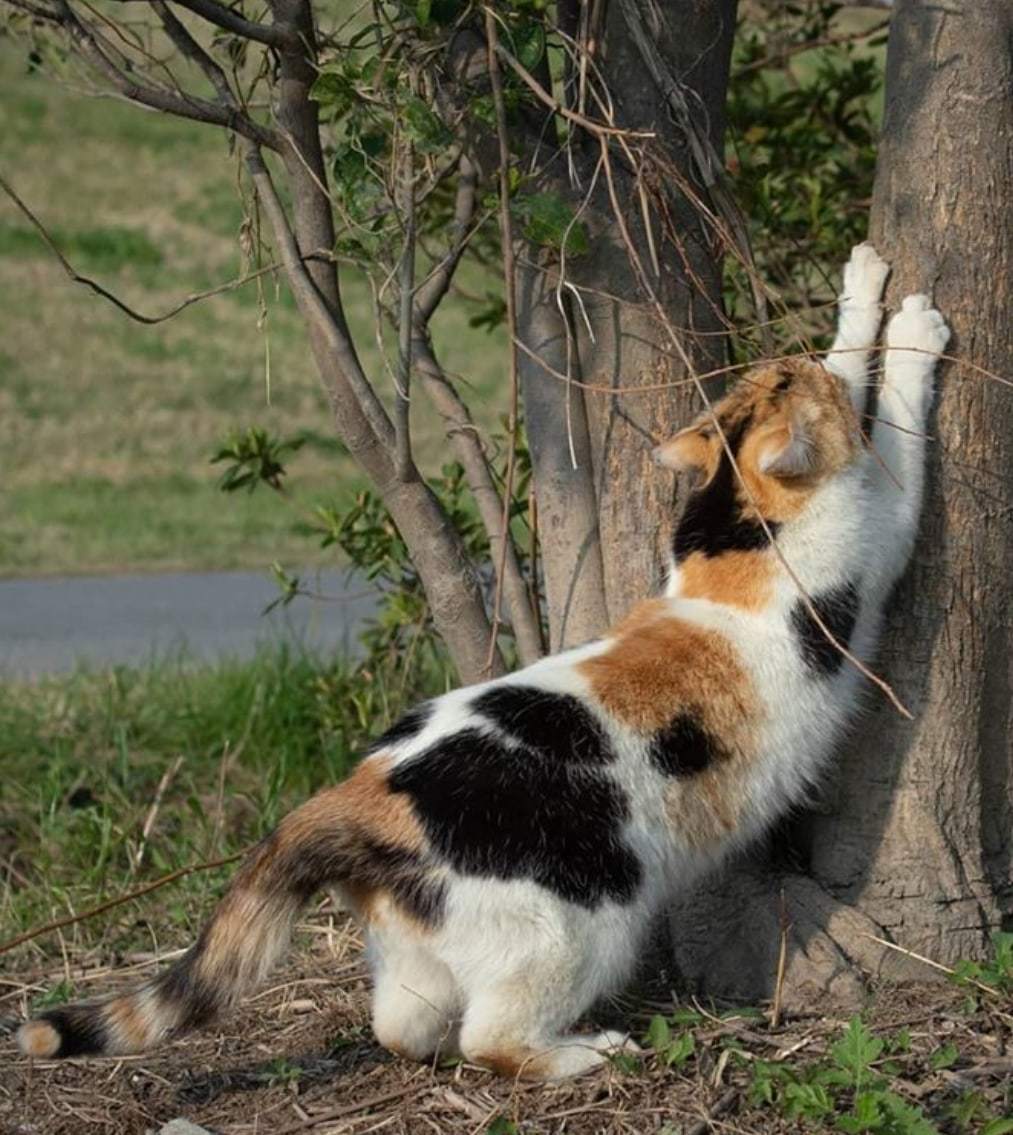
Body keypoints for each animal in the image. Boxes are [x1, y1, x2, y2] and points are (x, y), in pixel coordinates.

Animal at [13, 241, 948, 1080]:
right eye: (804, 388)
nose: (790, 356)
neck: (735, 536)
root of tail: (358, 793)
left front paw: (861, 285)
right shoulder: (882, 526)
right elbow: (895, 420)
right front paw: (905, 319)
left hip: (419, 948)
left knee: (403, 1026)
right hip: (580, 922)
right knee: (491, 1040)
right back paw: (588, 1053)